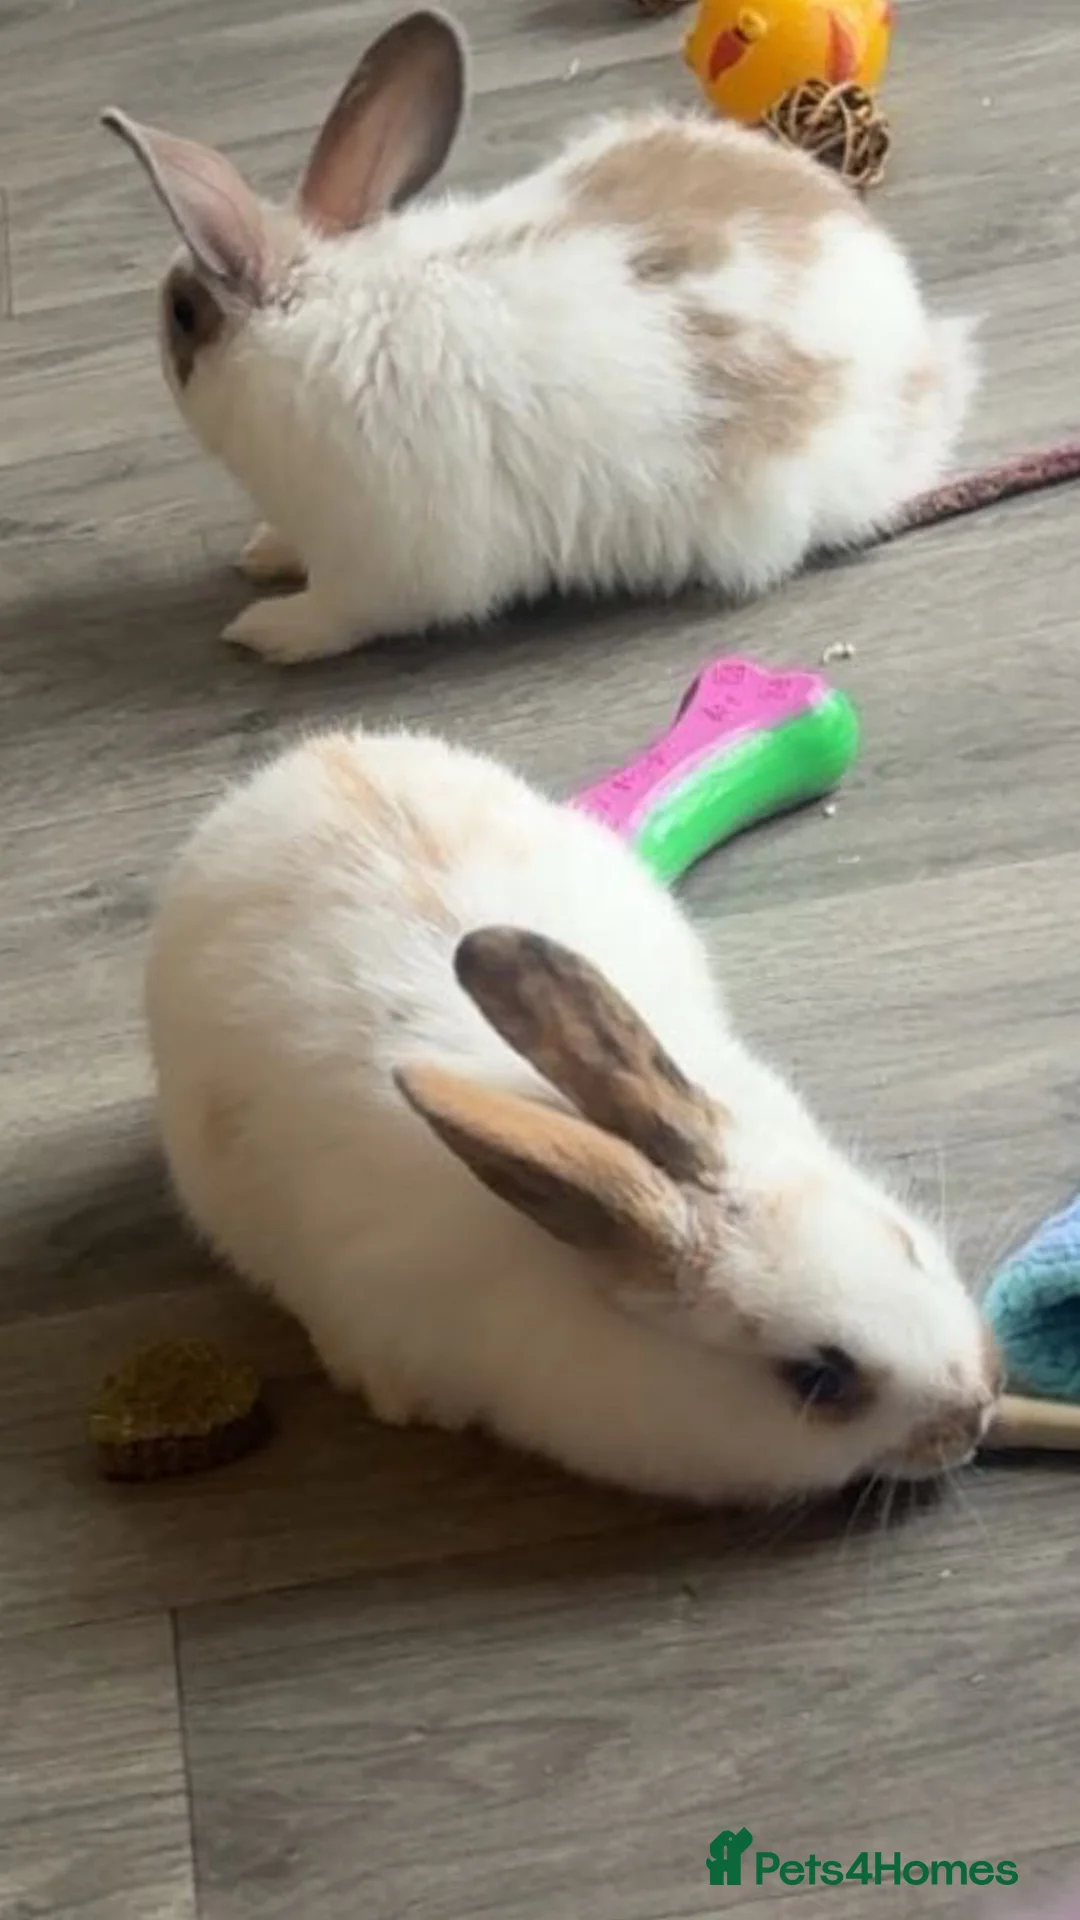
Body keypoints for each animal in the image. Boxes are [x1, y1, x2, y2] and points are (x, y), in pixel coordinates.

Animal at [102, 10, 977, 667]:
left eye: (182, 316)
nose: (161, 355)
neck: (313, 304)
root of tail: (918, 346)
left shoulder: (376, 567)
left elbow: (336, 616)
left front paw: (261, 631)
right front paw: (261, 553)